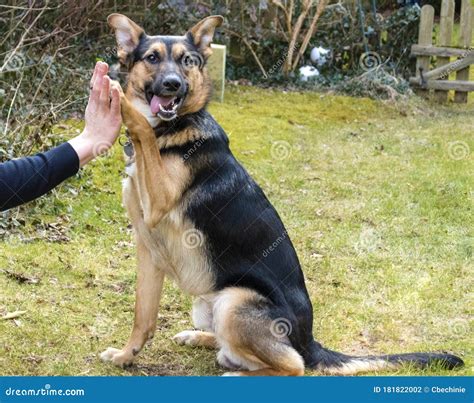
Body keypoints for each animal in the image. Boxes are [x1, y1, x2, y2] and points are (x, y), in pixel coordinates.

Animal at [98, 14, 464, 378]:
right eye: (152, 58)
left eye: (187, 61)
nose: (173, 84)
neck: (171, 130)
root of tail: (311, 342)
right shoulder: (148, 250)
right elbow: (143, 317)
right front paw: (125, 356)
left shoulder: (158, 202)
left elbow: (142, 129)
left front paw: (117, 96)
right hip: (208, 304)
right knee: (241, 350)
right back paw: (200, 338)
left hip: (234, 301)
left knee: (293, 365)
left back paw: (238, 373)